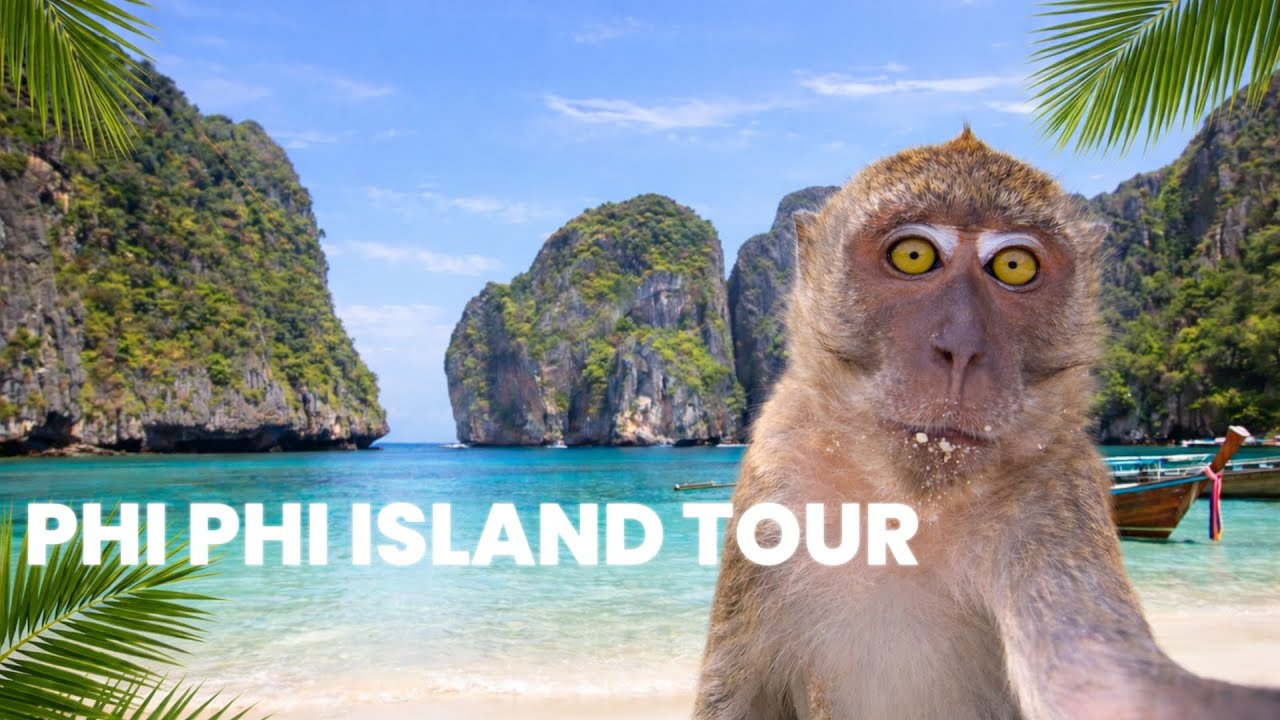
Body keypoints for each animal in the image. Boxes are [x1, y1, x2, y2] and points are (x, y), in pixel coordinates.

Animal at [692, 128, 1280, 719]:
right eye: (913, 255)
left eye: (1014, 266)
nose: (962, 348)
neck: (909, 508)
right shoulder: (775, 473)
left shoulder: (1056, 493)